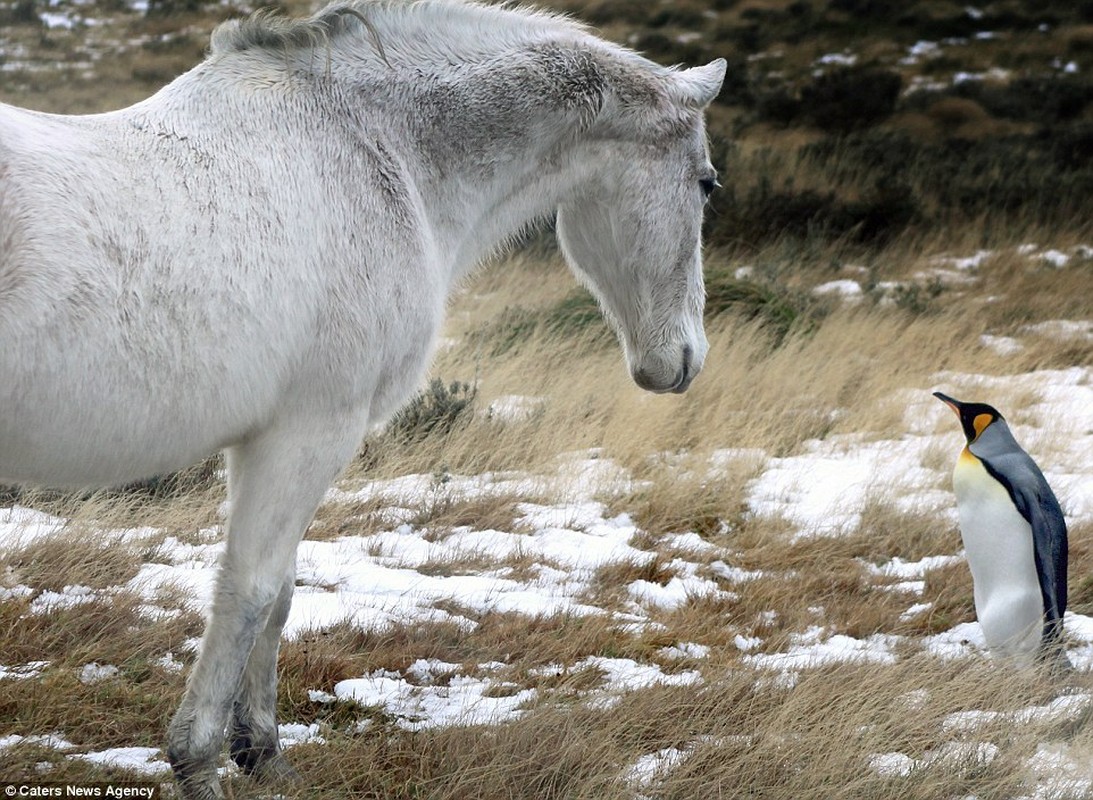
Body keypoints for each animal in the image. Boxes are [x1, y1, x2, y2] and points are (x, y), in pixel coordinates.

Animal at [2, 3, 725, 795]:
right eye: (707, 184)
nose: (683, 360)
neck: (379, 151)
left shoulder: (263, 440)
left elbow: (279, 593)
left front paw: (262, 752)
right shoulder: (312, 431)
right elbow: (250, 591)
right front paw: (199, 761)